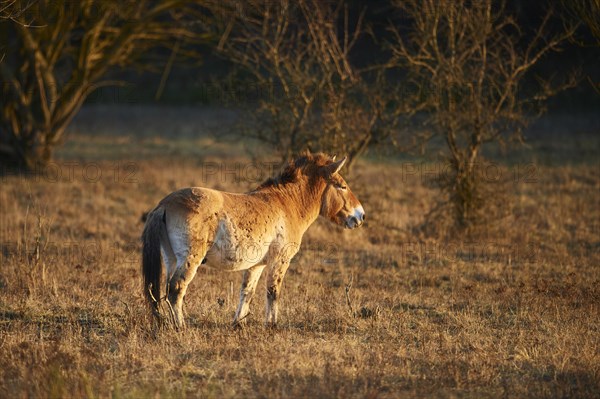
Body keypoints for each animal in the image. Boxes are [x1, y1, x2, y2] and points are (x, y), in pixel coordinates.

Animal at [142, 152, 366, 330]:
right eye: (342, 186)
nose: (360, 215)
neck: (287, 204)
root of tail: (164, 204)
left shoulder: (256, 265)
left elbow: (247, 292)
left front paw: (238, 324)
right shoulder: (279, 261)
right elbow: (273, 291)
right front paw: (272, 325)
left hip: (171, 259)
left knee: (164, 291)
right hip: (190, 259)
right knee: (176, 289)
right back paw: (181, 327)